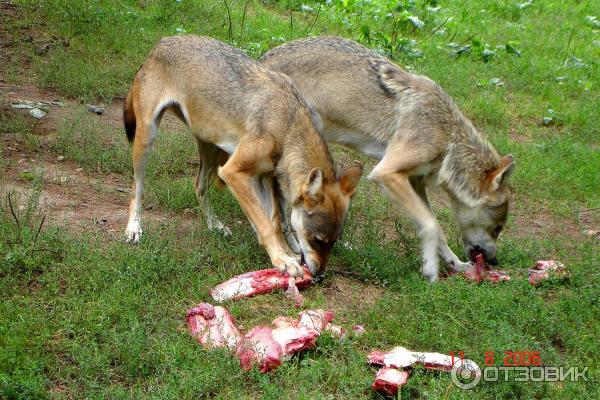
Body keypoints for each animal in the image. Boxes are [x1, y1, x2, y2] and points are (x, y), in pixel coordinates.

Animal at [122, 36, 360, 276]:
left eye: (333, 242)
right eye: (318, 240)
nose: (319, 277)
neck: (287, 125)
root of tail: (161, 43)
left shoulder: (263, 178)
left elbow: (275, 221)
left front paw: (286, 255)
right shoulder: (233, 172)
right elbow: (266, 225)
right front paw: (283, 260)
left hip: (210, 150)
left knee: (199, 187)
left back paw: (215, 225)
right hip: (147, 138)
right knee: (137, 188)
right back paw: (134, 228)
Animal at [262, 37, 516, 282]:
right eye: (497, 228)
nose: (494, 261)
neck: (448, 137)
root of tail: (263, 60)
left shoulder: (415, 182)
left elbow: (436, 229)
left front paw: (456, 265)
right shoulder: (386, 173)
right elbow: (432, 226)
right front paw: (431, 270)